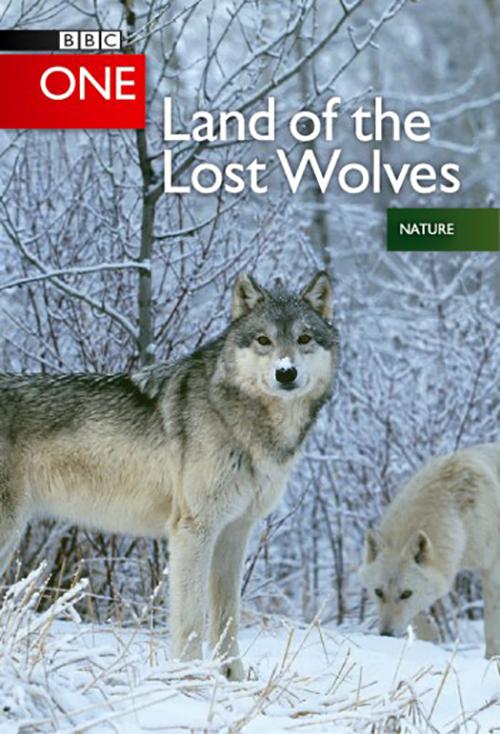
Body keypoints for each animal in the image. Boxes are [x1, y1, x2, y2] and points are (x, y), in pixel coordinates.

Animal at [0, 271, 338, 679]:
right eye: (263, 340)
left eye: (304, 339)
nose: (286, 372)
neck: (241, 421)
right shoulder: (193, 530)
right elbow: (191, 619)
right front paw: (188, 679)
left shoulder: (234, 532)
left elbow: (227, 616)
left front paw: (231, 679)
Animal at [358, 443, 500, 658]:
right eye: (378, 592)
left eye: (406, 594)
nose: (386, 634)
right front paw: (431, 636)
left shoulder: (491, 569)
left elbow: (491, 626)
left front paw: (492, 658)